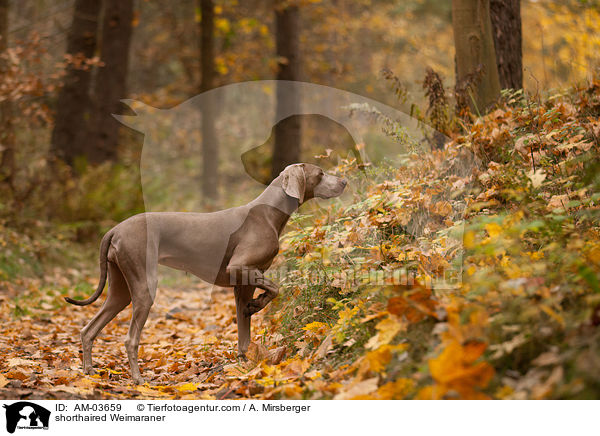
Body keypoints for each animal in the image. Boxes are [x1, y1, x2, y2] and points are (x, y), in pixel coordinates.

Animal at [65, 163, 346, 382]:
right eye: (321, 173)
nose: (344, 181)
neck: (268, 212)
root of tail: (115, 229)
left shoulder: (243, 284)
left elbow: (244, 331)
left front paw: (244, 360)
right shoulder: (240, 268)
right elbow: (277, 287)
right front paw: (258, 305)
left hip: (120, 289)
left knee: (88, 329)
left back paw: (89, 371)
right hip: (144, 286)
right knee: (130, 339)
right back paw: (137, 379)